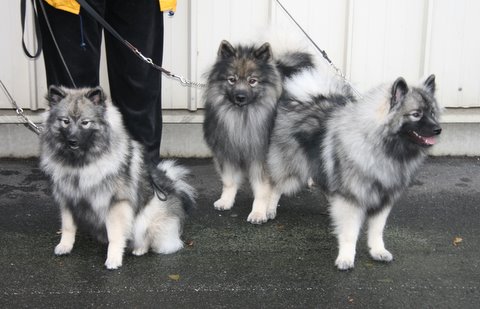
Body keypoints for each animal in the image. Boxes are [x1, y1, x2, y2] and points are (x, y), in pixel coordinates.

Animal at [39, 85, 195, 268]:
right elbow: (68, 227)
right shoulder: (67, 199)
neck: (80, 162)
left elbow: (115, 235)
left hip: (147, 216)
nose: (72, 141)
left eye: (85, 122)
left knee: (147, 237)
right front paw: (64, 246)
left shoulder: (115, 203)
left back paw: (139, 249)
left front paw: (113, 259)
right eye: (65, 121)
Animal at [202, 41, 312, 223]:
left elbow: (262, 189)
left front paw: (259, 213)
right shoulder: (227, 152)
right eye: (232, 80)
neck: (242, 117)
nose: (240, 97)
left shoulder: (262, 159)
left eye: (252, 81)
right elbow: (229, 181)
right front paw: (226, 201)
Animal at [268, 66, 440, 268]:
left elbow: (377, 230)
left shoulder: (383, 200)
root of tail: (304, 98)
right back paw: (266, 210)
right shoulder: (352, 199)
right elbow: (350, 232)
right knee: (276, 187)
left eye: (433, 113)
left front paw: (378, 251)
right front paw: (346, 258)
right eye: (416, 114)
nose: (438, 129)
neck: (380, 147)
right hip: (292, 171)